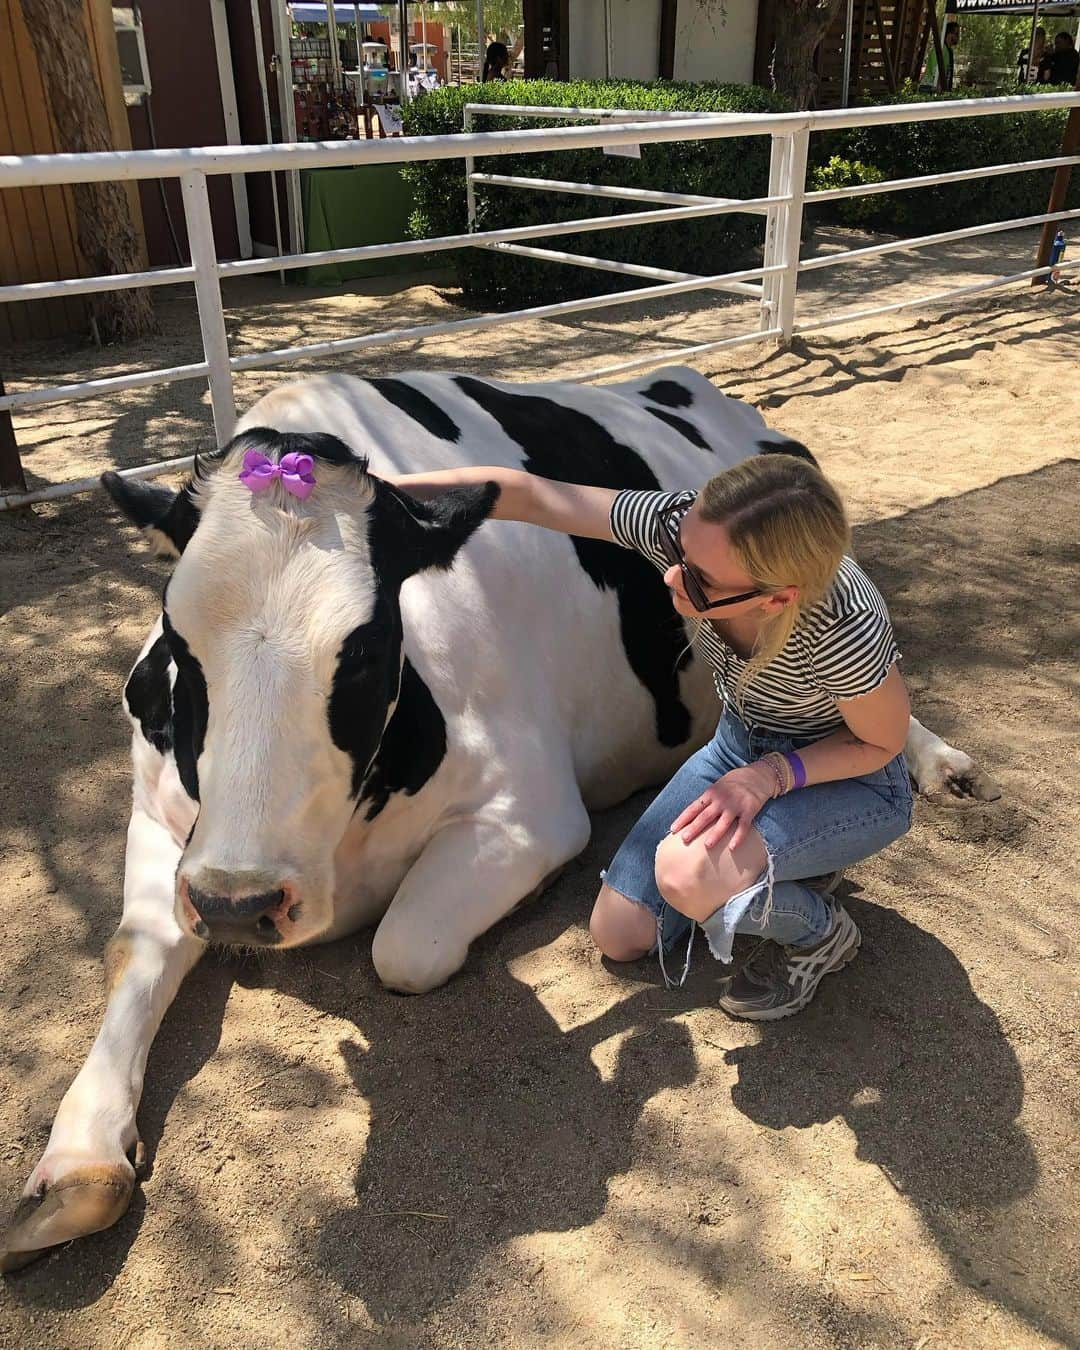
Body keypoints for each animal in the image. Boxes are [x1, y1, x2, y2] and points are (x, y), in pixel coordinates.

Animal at [0, 364, 999, 1269]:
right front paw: (75, 1162)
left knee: (875, 689)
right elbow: (138, 944)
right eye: (177, 638)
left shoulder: (534, 814)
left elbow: (402, 949)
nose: (242, 906)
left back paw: (938, 765)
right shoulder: (166, 817)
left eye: (366, 649)